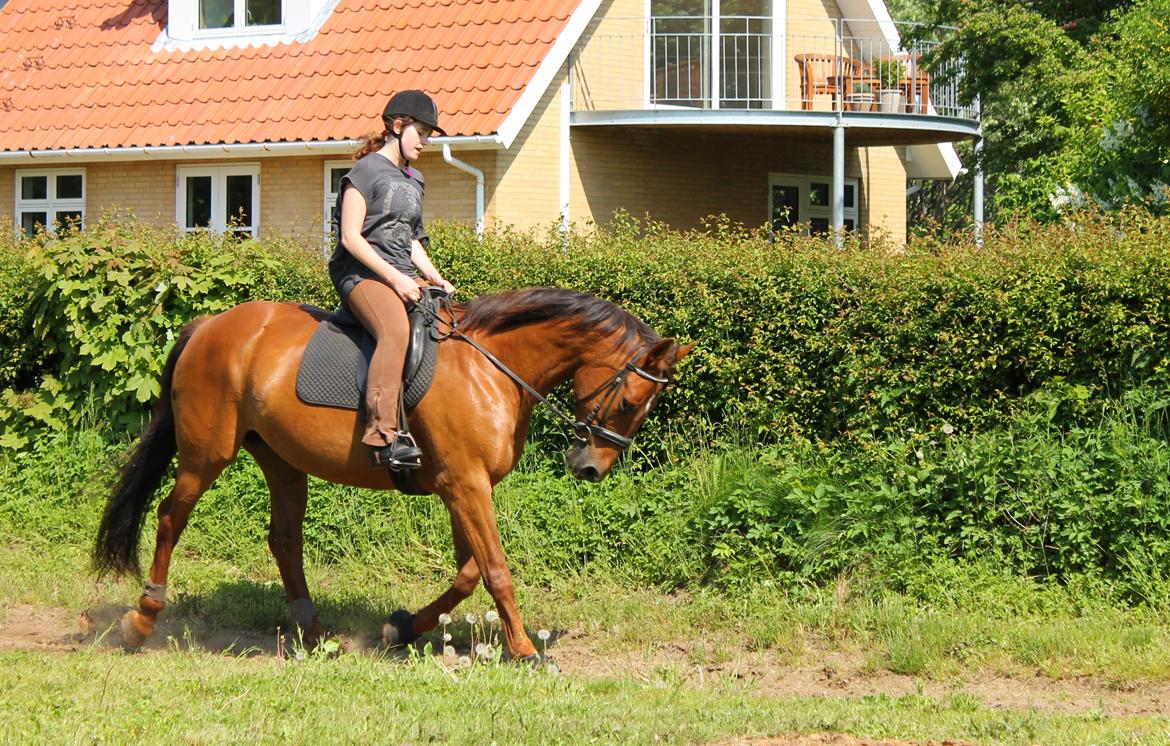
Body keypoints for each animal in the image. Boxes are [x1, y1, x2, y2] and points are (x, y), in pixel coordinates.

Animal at [95, 289, 687, 664]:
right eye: (630, 401)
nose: (591, 468)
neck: (492, 368)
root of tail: (209, 326)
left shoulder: (460, 486)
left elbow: (467, 573)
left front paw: (401, 627)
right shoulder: (465, 484)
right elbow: (495, 570)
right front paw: (524, 652)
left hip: (281, 461)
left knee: (284, 539)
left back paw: (315, 635)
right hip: (206, 454)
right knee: (169, 519)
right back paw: (141, 621)